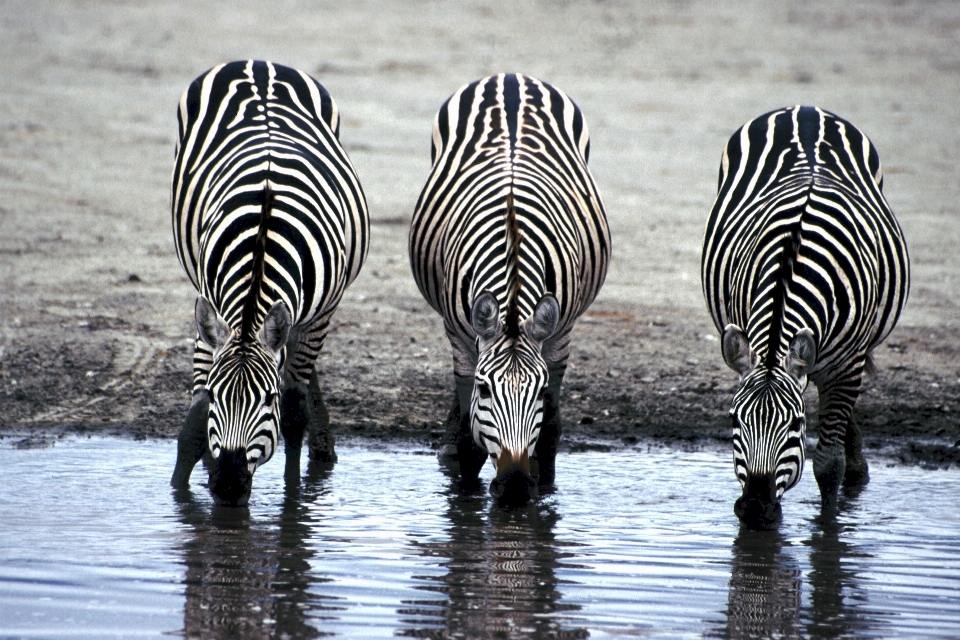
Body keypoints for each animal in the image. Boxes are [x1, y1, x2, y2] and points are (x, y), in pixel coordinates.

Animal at [169, 60, 368, 504]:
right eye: (217, 395)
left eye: (268, 399)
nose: (228, 484)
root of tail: (259, 63)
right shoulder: (210, 306)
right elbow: (194, 420)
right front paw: (182, 491)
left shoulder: (319, 316)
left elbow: (293, 414)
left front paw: (294, 500)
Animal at [410, 74, 608, 504]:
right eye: (485, 390)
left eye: (539, 392)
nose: (515, 485)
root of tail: (511, 77)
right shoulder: (459, 334)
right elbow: (470, 438)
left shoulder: (560, 334)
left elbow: (549, 433)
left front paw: (543, 489)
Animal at [700, 106, 912, 524]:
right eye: (734, 420)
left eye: (796, 425)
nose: (755, 509)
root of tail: (804, 109)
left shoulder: (847, 365)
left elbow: (828, 465)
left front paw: (828, 526)